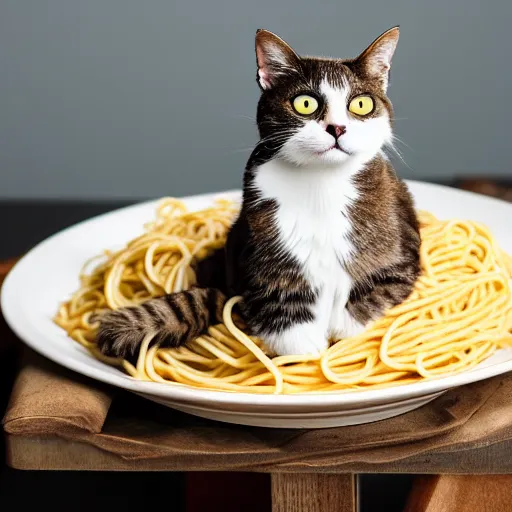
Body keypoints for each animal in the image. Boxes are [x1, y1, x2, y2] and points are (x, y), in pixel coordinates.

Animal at [96, 26, 420, 358]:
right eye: (305, 103)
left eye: (361, 104)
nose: (337, 128)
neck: (321, 182)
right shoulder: (260, 247)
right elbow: (279, 304)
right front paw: (306, 350)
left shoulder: (401, 254)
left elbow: (374, 296)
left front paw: (338, 335)